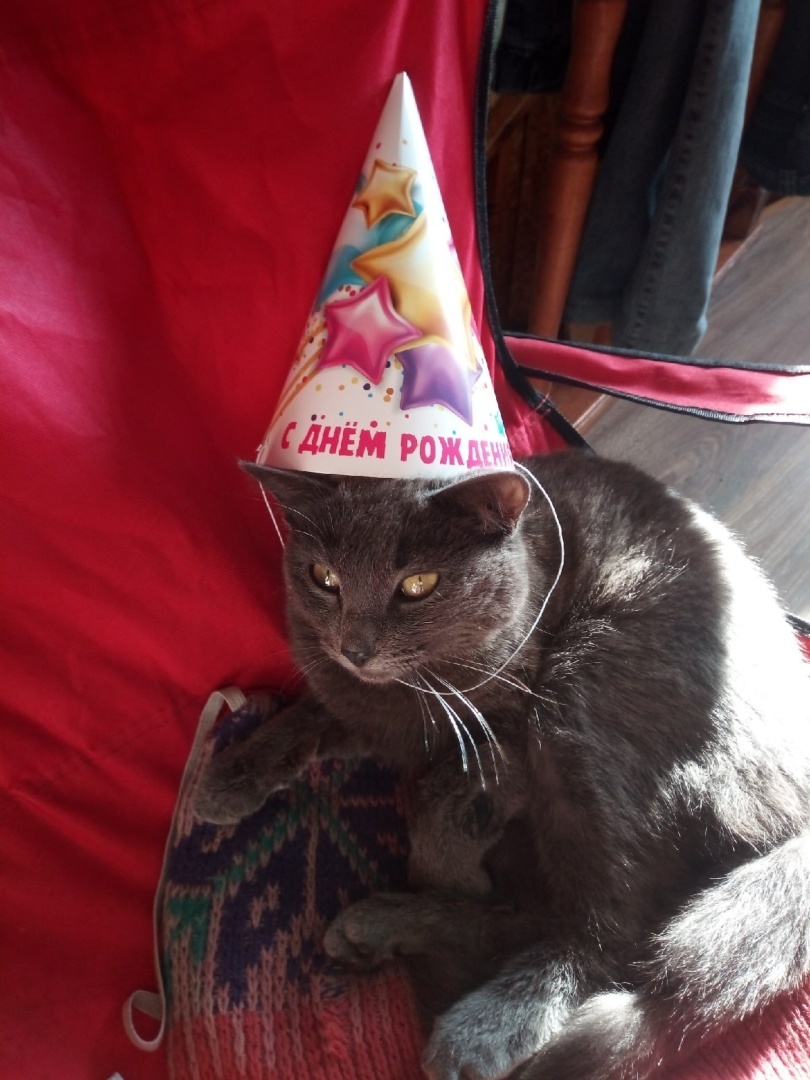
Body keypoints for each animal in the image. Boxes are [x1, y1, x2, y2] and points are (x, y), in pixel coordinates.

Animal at [195, 450, 810, 1080]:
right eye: (324, 578)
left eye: (417, 585)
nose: (355, 648)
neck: (411, 691)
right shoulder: (360, 706)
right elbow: (310, 714)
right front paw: (230, 775)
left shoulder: (509, 730)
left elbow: (442, 800)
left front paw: (450, 868)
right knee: (546, 914)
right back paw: (381, 928)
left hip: (583, 678)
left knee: (614, 932)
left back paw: (475, 1025)